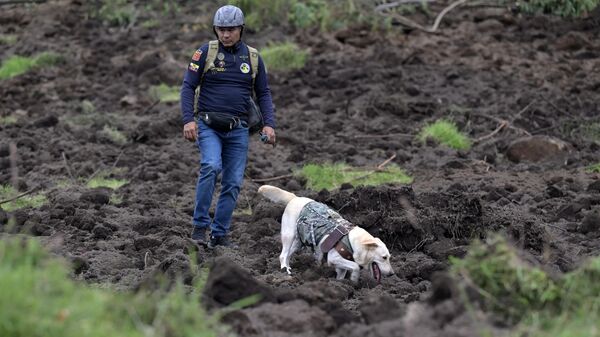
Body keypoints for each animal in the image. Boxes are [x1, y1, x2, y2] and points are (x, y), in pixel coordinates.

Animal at [256, 185, 394, 282]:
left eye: (389, 257)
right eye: (384, 257)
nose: (392, 274)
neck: (352, 241)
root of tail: (295, 198)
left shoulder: (340, 265)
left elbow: (342, 274)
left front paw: (341, 284)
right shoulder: (334, 258)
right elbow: (354, 266)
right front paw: (354, 279)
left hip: (298, 242)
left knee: (289, 254)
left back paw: (290, 269)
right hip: (288, 235)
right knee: (283, 255)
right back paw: (285, 271)